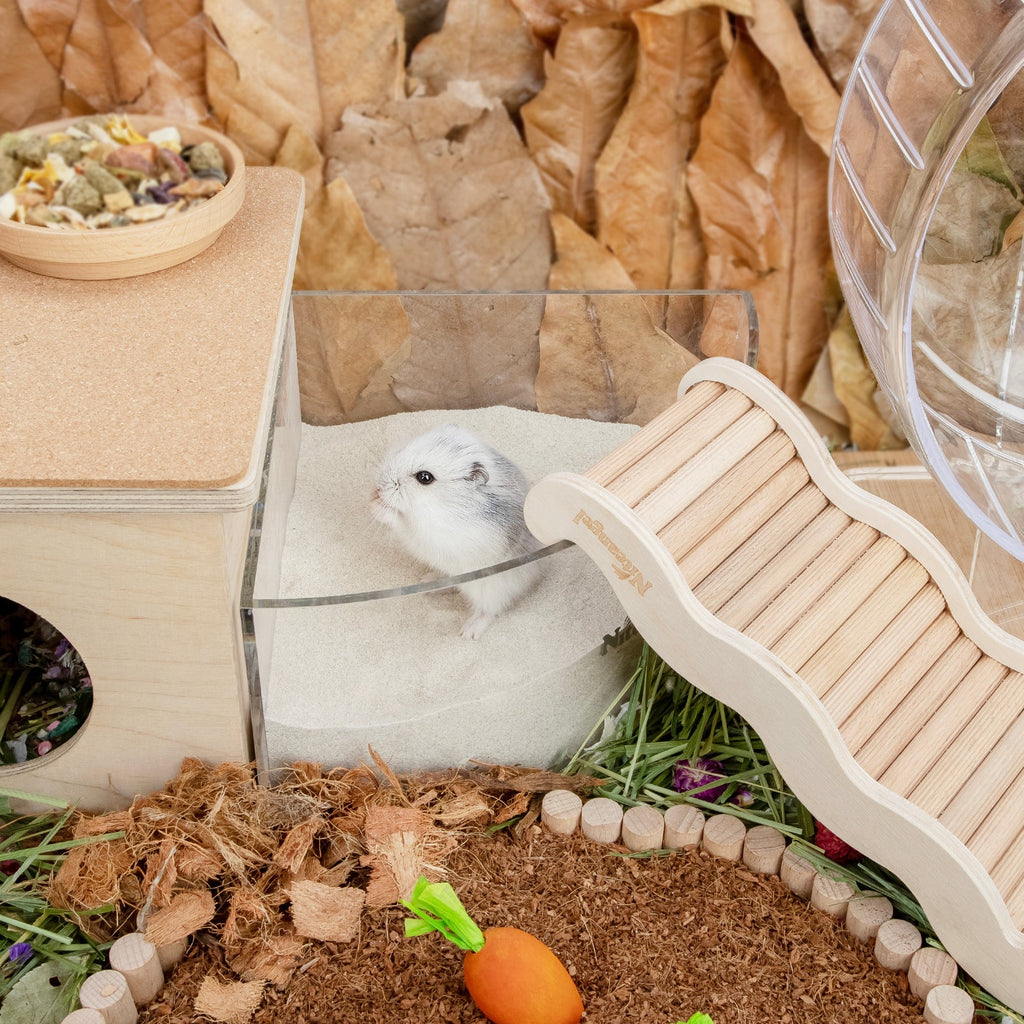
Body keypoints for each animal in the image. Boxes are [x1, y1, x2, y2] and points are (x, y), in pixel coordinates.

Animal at [370, 423, 543, 639]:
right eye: (401, 450)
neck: (444, 504)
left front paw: (376, 506)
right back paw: (427, 583)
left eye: (424, 477)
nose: (378, 485)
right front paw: (373, 497)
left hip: (491, 589)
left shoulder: (434, 535)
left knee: (489, 610)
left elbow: (403, 523)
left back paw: (468, 632)